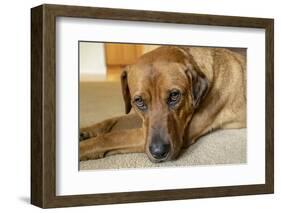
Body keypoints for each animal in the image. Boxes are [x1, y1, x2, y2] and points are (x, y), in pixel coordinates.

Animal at [79, 46, 245, 162]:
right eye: (139, 101)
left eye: (174, 96)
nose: (159, 152)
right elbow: (111, 120)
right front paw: (84, 131)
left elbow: (110, 137)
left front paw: (83, 147)